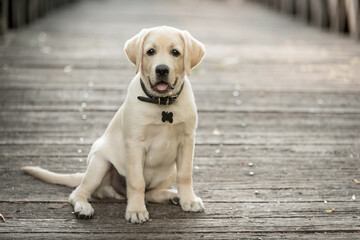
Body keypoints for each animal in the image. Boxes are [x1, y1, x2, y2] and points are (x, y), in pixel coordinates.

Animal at [23, 25, 205, 223]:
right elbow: (136, 181)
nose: (162, 70)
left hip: (169, 170)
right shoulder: (135, 144)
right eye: (150, 51)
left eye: (175, 52)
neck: (162, 104)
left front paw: (189, 200)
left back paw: (172, 195)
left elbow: (185, 175)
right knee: (79, 192)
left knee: (149, 192)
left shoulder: (187, 140)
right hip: (99, 163)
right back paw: (83, 207)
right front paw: (136, 210)